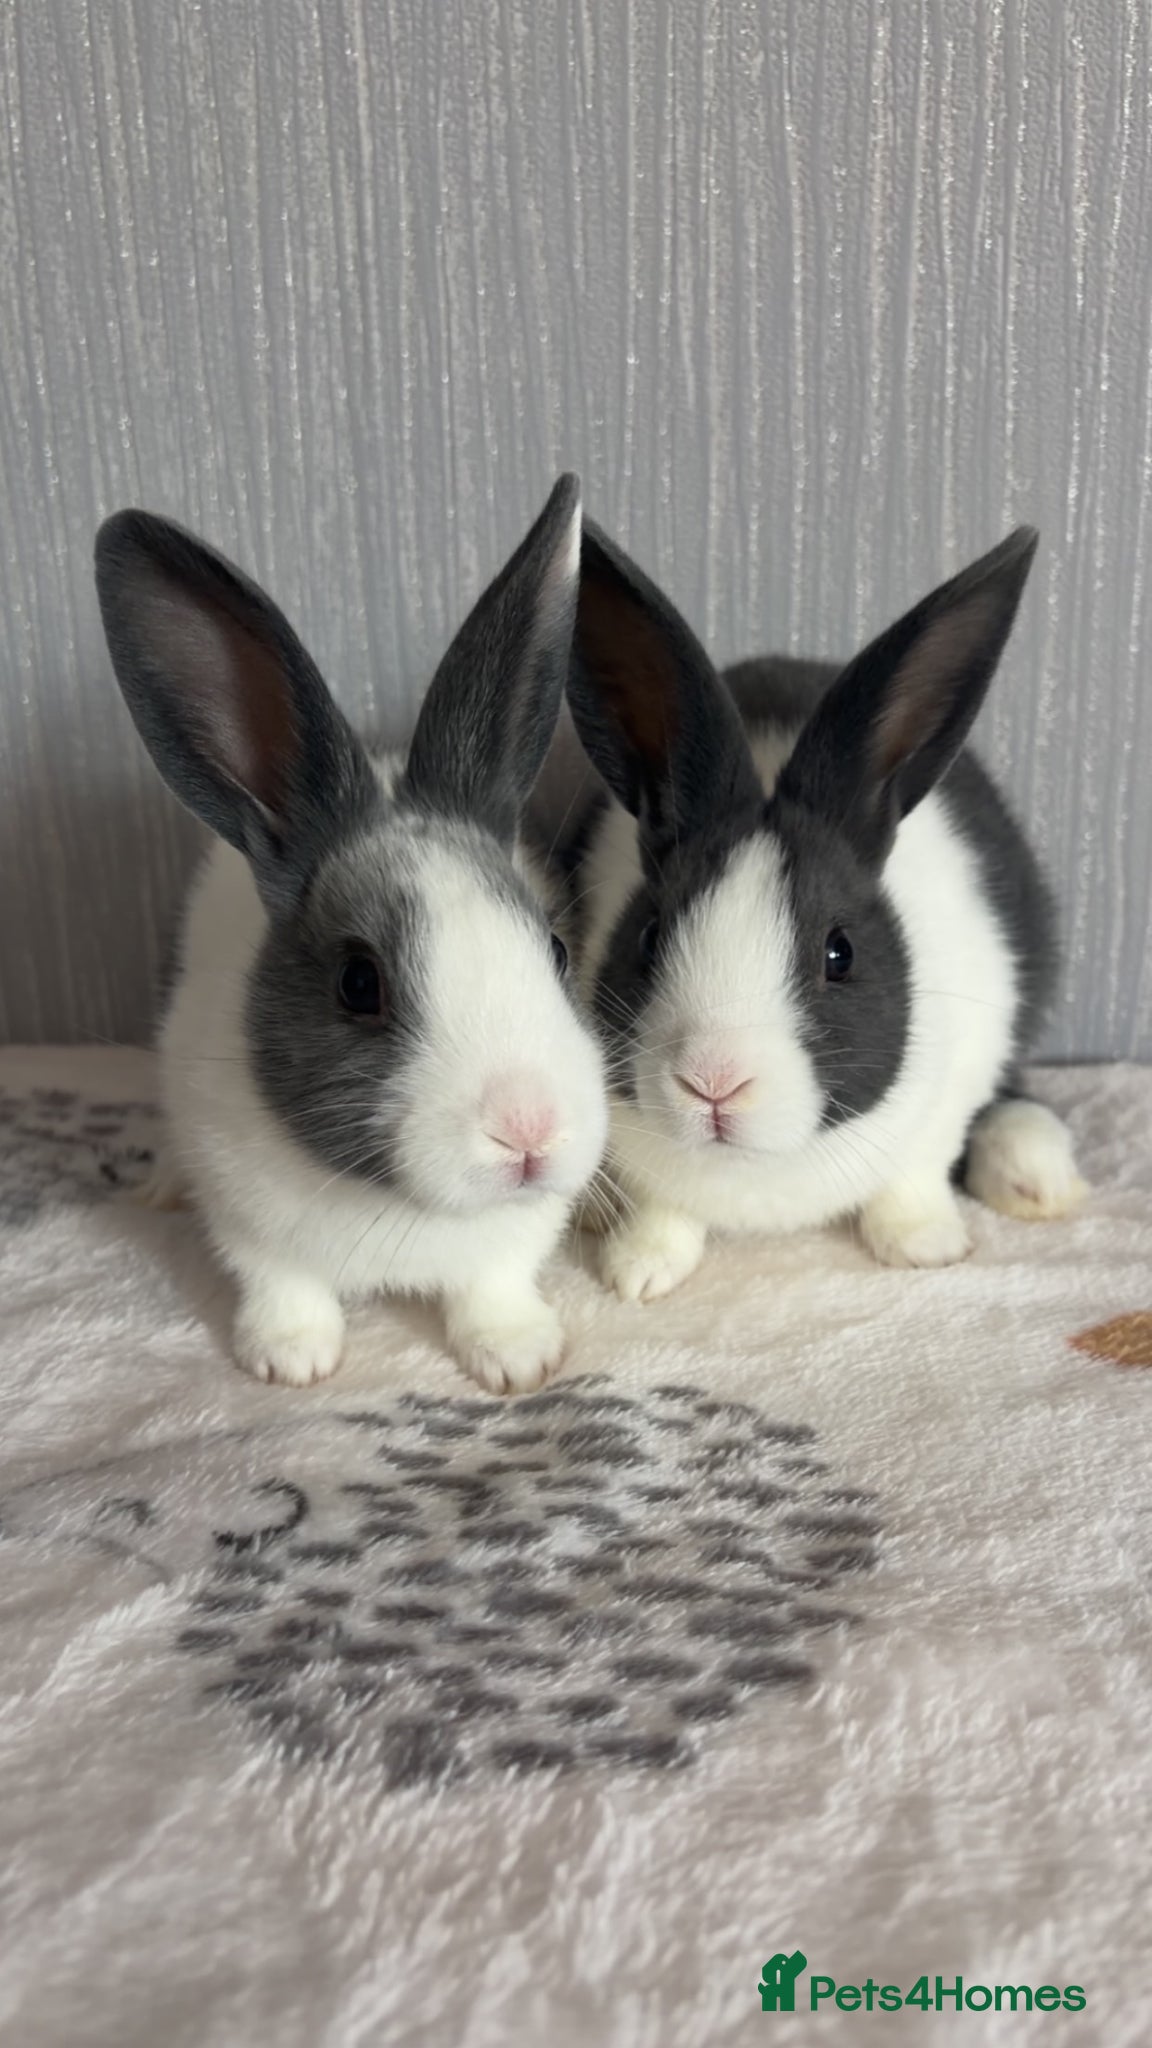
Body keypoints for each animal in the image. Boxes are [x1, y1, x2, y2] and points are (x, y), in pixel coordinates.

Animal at [94, 475, 608, 1392]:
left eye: (553, 949)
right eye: (359, 984)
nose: (529, 1132)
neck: (401, 1210)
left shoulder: (507, 1244)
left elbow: (493, 1285)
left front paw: (518, 1359)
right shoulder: (250, 1222)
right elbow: (281, 1284)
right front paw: (290, 1360)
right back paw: (159, 1188)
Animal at [560, 520, 1086, 1303]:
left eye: (839, 954)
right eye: (650, 937)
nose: (715, 1084)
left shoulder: (957, 1078)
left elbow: (915, 1178)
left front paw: (924, 1246)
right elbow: (663, 1210)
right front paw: (638, 1271)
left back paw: (1035, 1173)